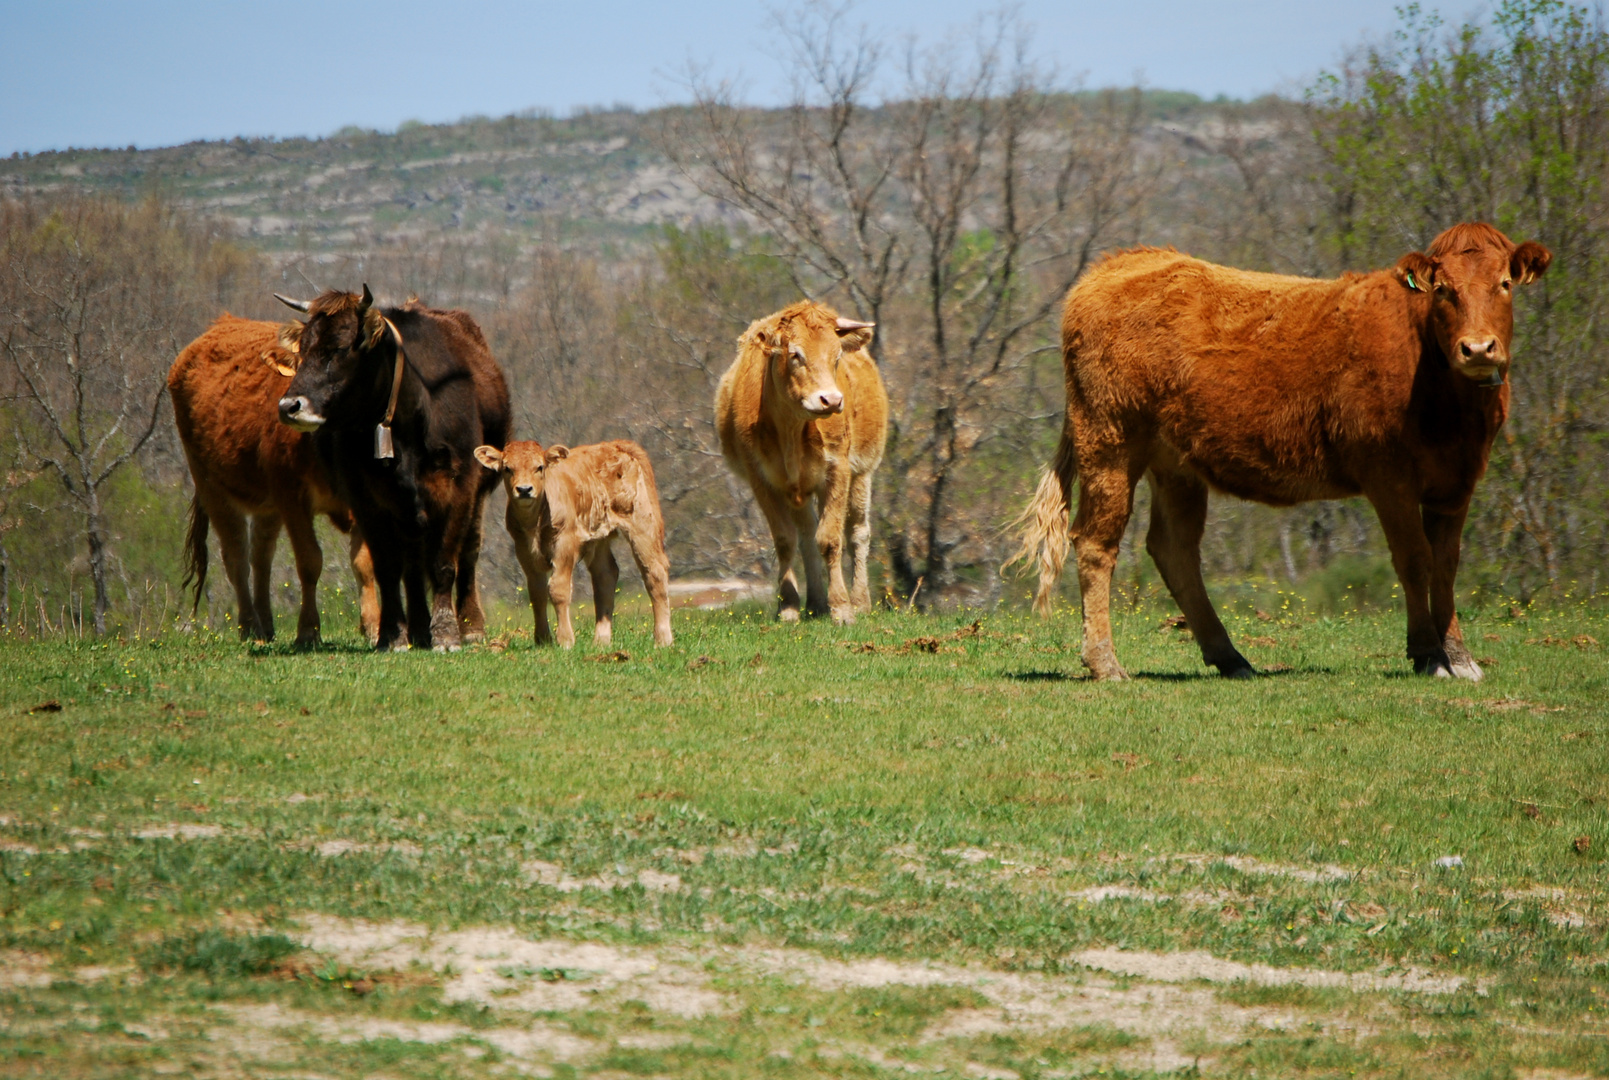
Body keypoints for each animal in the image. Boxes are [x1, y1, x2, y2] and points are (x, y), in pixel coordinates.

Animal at [170, 315, 379, 650]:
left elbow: (363, 563)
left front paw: (374, 626)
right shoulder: (292, 499)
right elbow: (309, 561)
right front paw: (308, 631)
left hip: (267, 506)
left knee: (261, 557)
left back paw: (265, 624)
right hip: (212, 488)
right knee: (236, 558)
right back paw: (248, 627)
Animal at [270, 286, 508, 653]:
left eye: (339, 349)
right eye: (303, 349)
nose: (289, 406)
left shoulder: (460, 489)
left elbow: (443, 563)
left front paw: (446, 633)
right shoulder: (365, 498)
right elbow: (388, 566)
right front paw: (393, 634)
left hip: (476, 494)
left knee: (468, 551)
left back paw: (470, 626)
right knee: (412, 560)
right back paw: (418, 629)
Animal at [476, 434, 678, 647]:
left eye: (539, 467)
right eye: (507, 468)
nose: (524, 489)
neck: (535, 522)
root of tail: (617, 445)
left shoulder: (565, 544)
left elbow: (558, 589)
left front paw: (565, 639)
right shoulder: (523, 549)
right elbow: (537, 593)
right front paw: (542, 640)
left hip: (642, 526)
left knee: (654, 572)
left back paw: (663, 638)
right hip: (598, 538)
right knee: (605, 576)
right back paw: (601, 641)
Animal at [720, 304, 894, 624]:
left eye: (837, 357)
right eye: (795, 355)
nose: (832, 400)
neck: (791, 427)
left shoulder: (838, 470)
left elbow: (830, 539)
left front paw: (842, 608)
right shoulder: (761, 479)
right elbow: (785, 540)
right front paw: (788, 606)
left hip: (862, 474)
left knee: (857, 533)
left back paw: (860, 601)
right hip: (798, 491)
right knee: (806, 536)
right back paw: (816, 603)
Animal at [1010, 225, 1551, 685]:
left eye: (1505, 283)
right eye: (1443, 290)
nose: (1478, 349)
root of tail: (1124, 260)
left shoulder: (1457, 482)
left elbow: (1446, 564)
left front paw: (1460, 656)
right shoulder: (1389, 477)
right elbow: (1415, 559)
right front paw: (1429, 655)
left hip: (1175, 464)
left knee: (1174, 549)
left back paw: (1230, 657)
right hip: (1110, 441)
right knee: (1095, 543)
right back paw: (1106, 664)